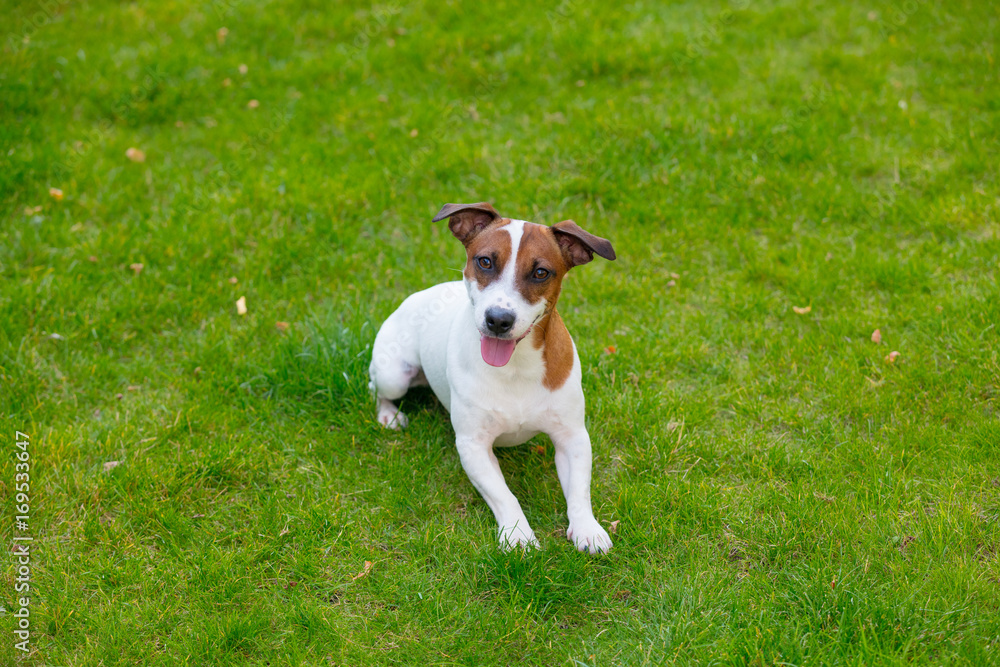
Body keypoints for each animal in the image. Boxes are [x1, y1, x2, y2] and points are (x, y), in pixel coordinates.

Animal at [370, 202, 616, 552]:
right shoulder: (473, 445)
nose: (498, 319)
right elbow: (504, 496)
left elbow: (580, 491)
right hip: (393, 375)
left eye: (541, 272)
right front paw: (518, 534)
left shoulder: (572, 437)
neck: (516, 366)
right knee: (378, 389)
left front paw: (587, 528)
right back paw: (389, 415)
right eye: (485, 261)